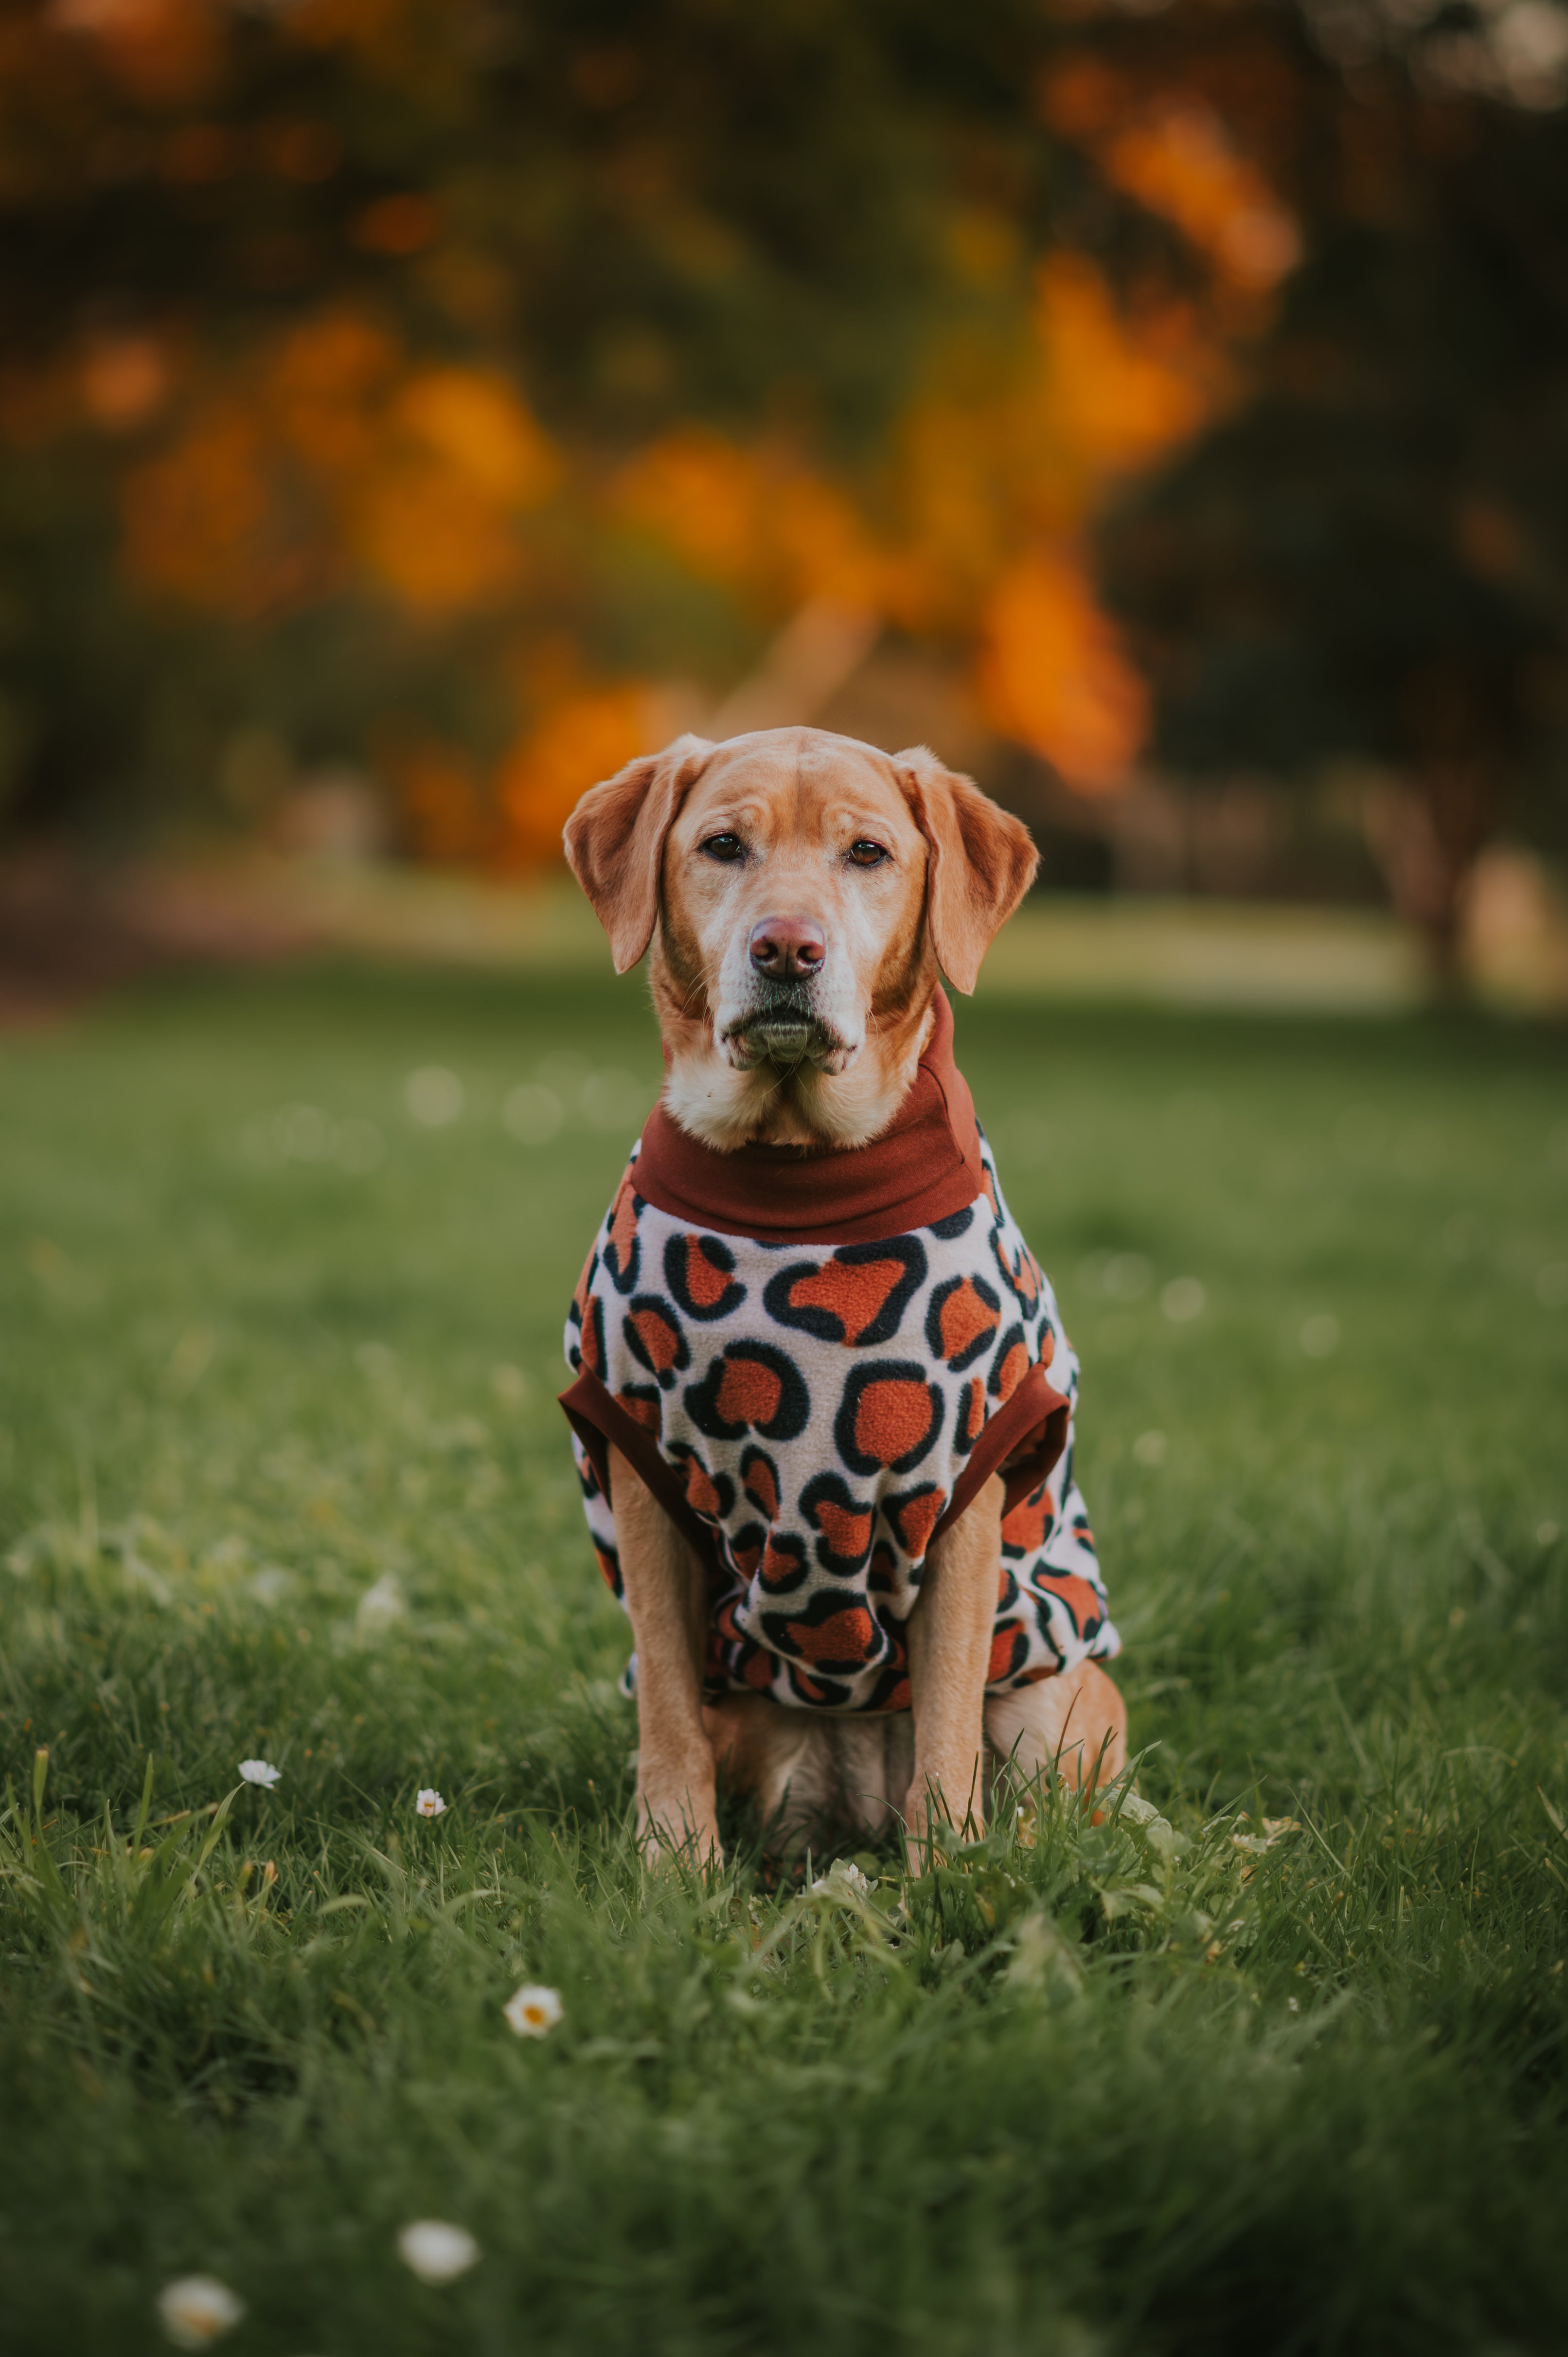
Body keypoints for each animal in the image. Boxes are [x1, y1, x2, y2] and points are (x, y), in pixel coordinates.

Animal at [556, 726, 1118, 1867]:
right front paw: (671, 1865)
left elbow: (945, 1714)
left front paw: (947, 1868)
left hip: (1060, 1697)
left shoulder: (962, 1504)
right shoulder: (642, 1482)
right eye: (722, 845)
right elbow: (665, 1708)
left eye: (867, 853)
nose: (786, 948)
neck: (793, 1168)